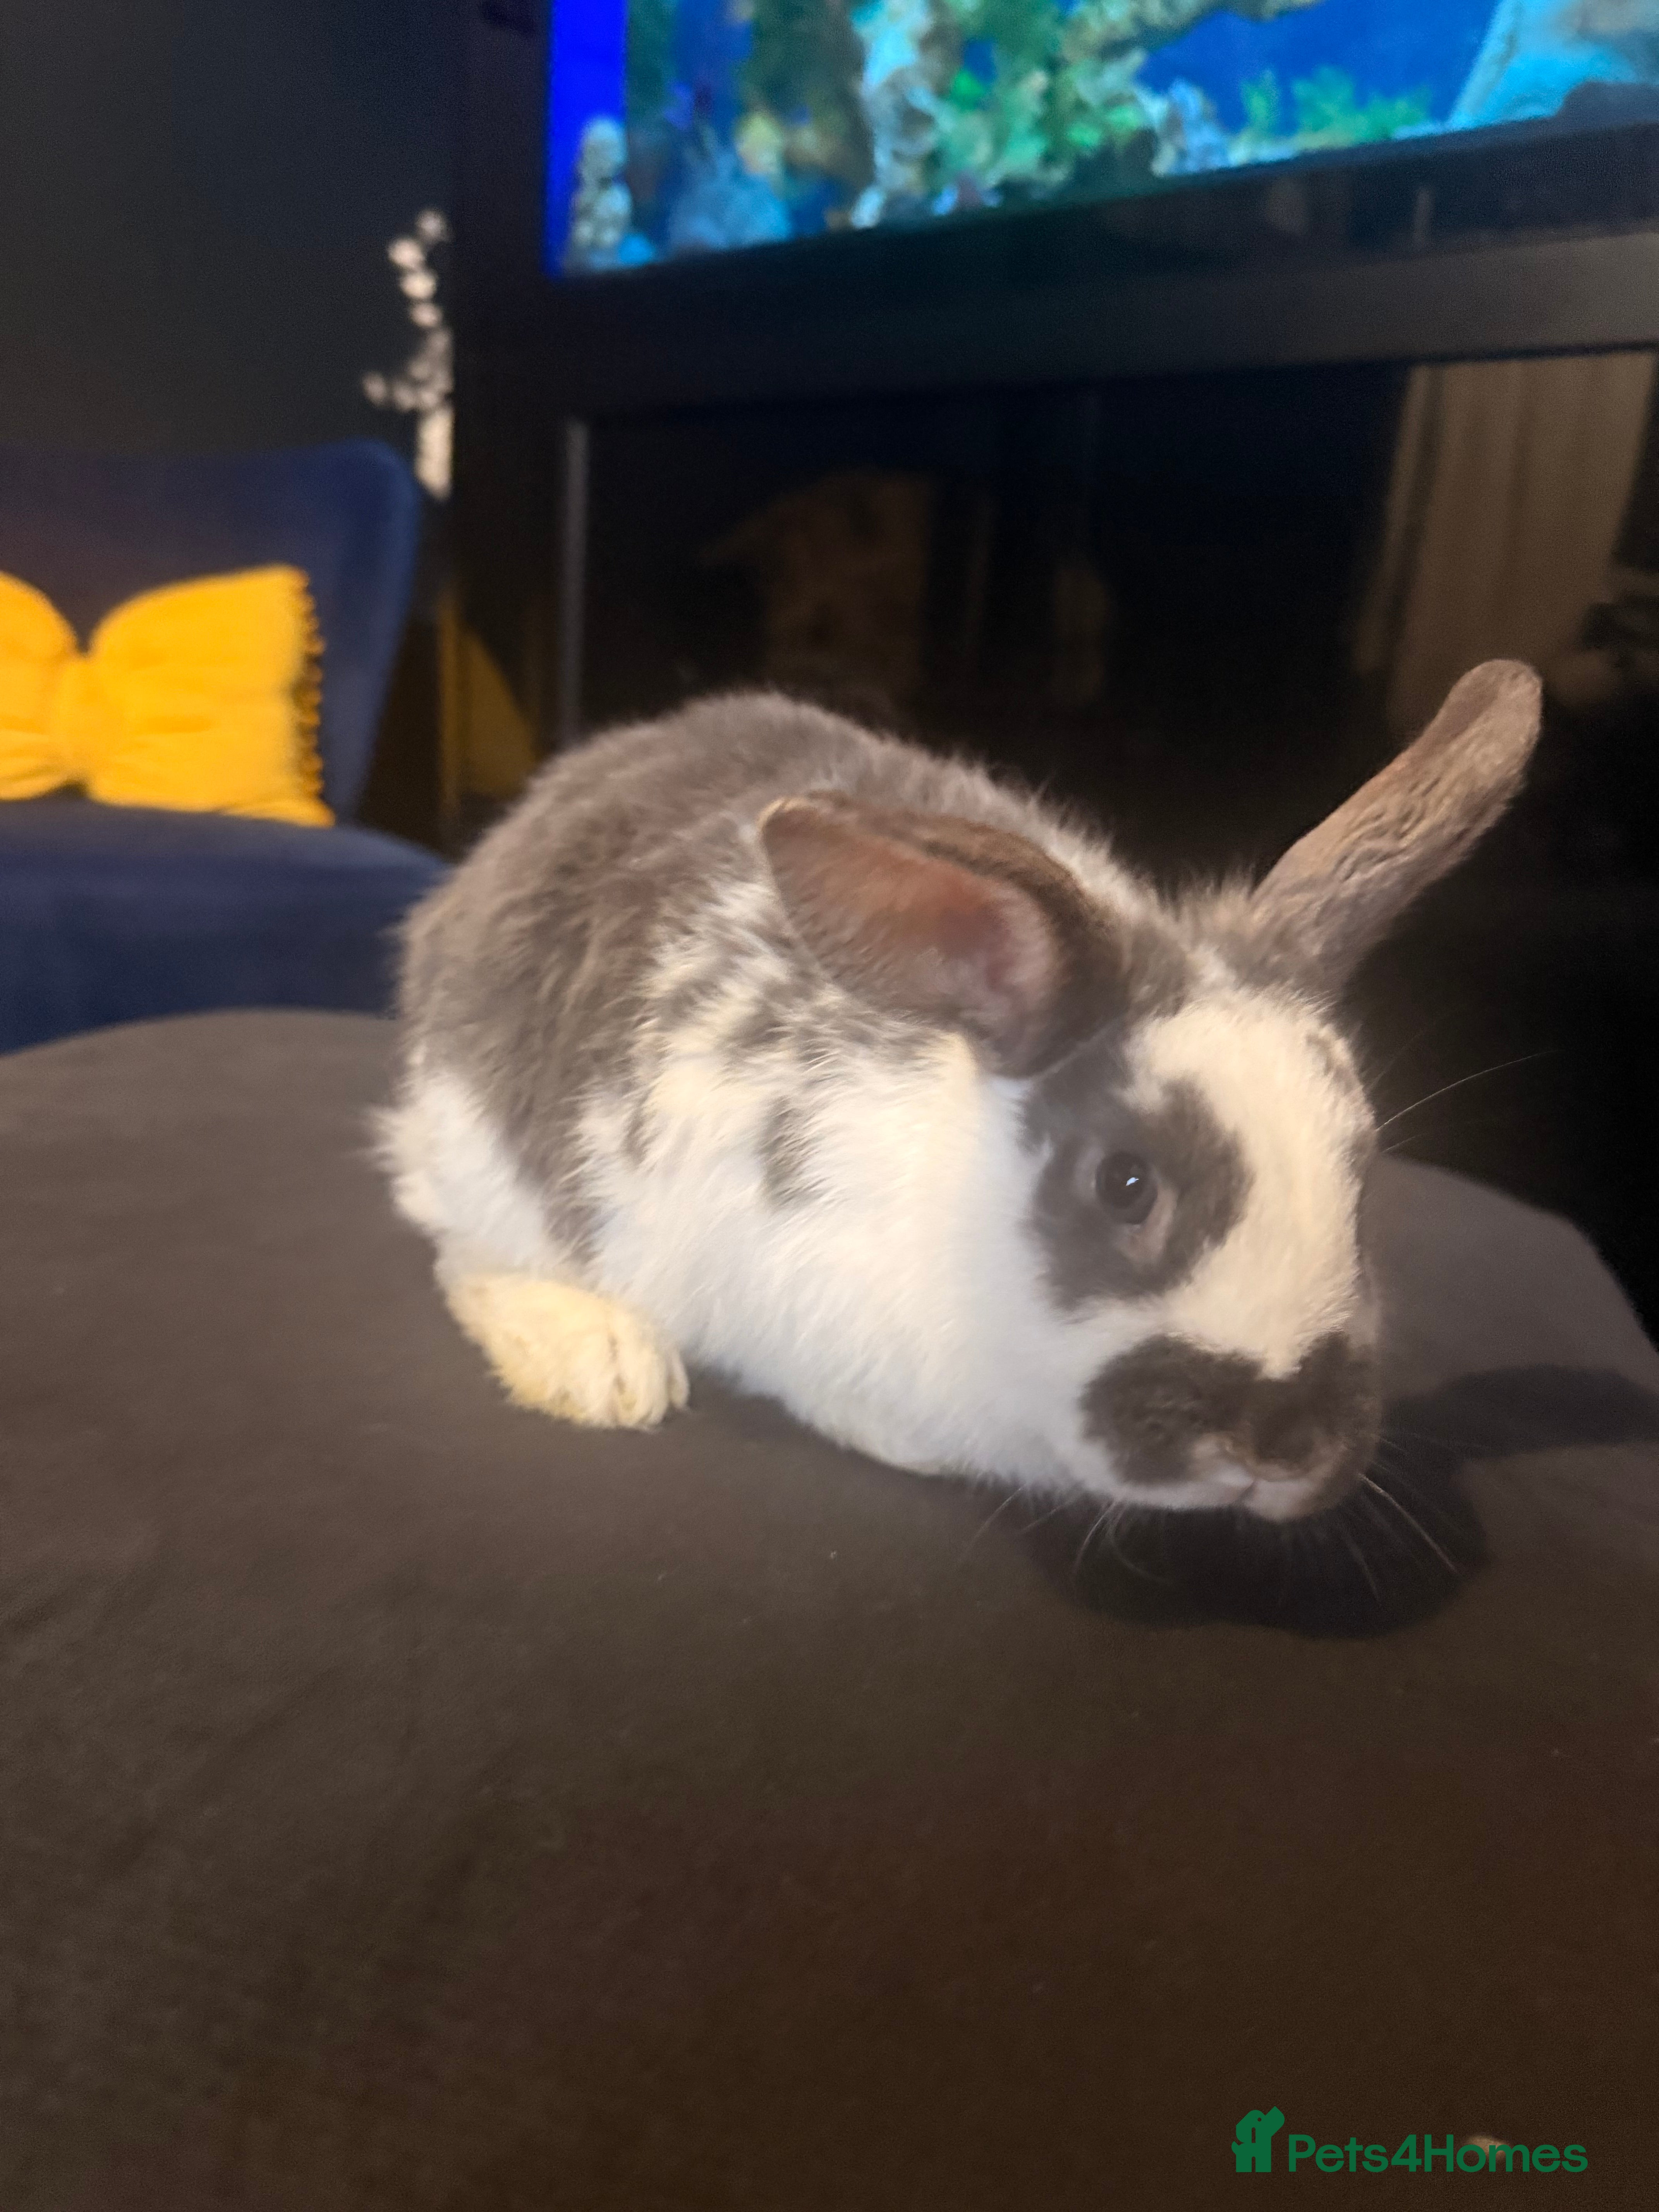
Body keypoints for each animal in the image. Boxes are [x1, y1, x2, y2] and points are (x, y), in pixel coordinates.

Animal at [381, 662, 1541, 1524]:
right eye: (1125, 1185)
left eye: (1362, 1189)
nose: (1280, 1441)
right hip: (485, 1154)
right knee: (460, 1253)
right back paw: (600, 1366)